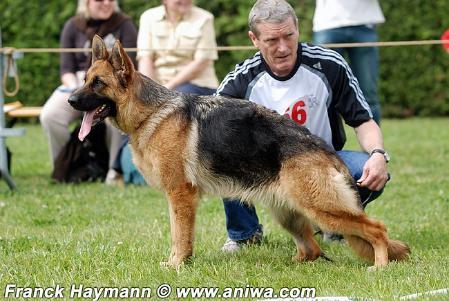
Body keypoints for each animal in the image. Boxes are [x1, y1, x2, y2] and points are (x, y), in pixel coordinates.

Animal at [68, 35, 408, 270]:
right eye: (85, 80)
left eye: (97, 84)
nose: (70, 101)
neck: (150, 112)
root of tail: (326, 151)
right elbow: (179, 234)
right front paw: (178, 262)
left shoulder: (180, 196)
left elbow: (180, 235)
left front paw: (177, 265)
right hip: (288, 213)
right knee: (312, 249)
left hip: (323, 210)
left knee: (376, 229)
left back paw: (380, 265)